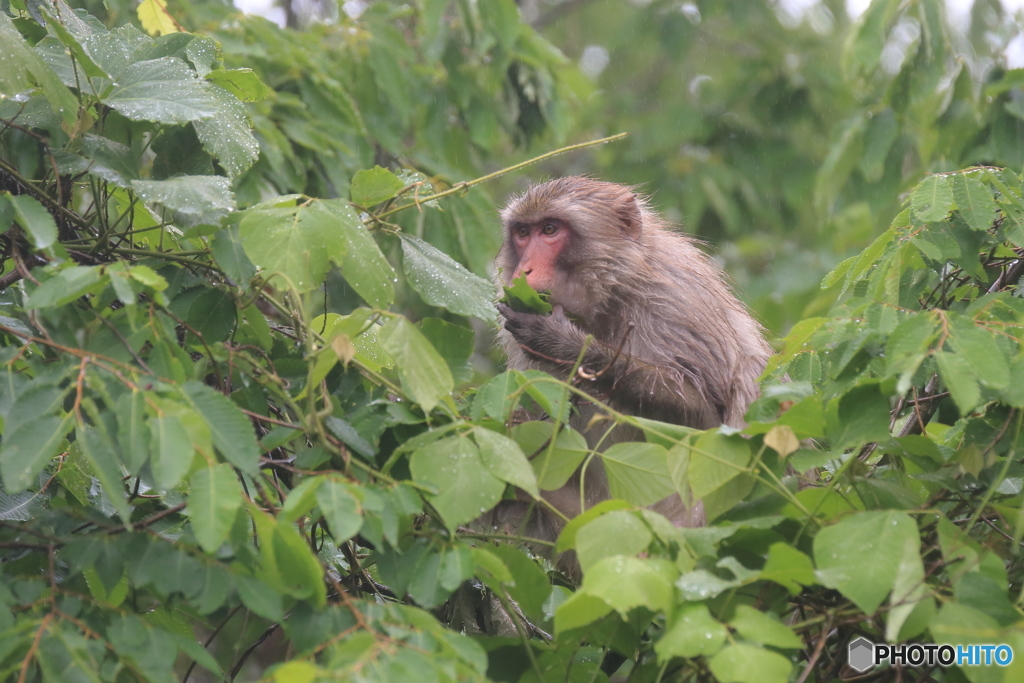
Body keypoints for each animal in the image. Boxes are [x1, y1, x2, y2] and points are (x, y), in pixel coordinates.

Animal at [487, 176, 770, 565]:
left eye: (550, 230)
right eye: (522, 233)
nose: (523, 271)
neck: (612, 291)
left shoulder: (675, 305)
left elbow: (704, 422)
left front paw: (565, 344)